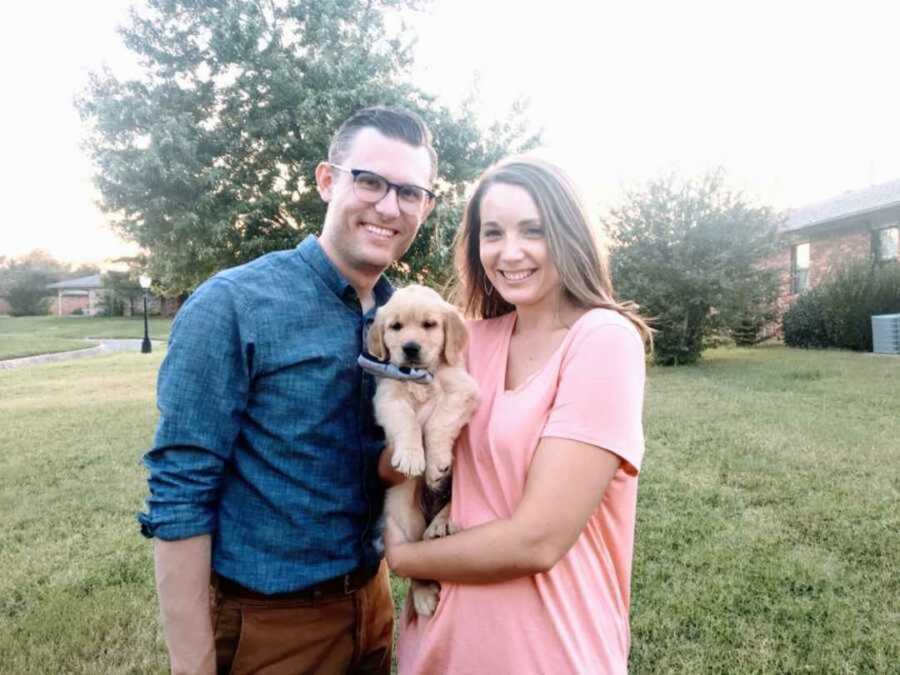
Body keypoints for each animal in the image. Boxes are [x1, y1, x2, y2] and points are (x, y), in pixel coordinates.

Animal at [366, 282, 482, 616]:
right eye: (396, 327)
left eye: (429, 325)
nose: (410, 348)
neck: (418, 377)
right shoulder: (388, 398)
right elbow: (408, 423)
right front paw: (411, 458)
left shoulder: (462, 390)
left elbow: (436, 424)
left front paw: (436, 464)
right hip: (405, 518)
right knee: (416, 560)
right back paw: (423, 595)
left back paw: (441, 523)